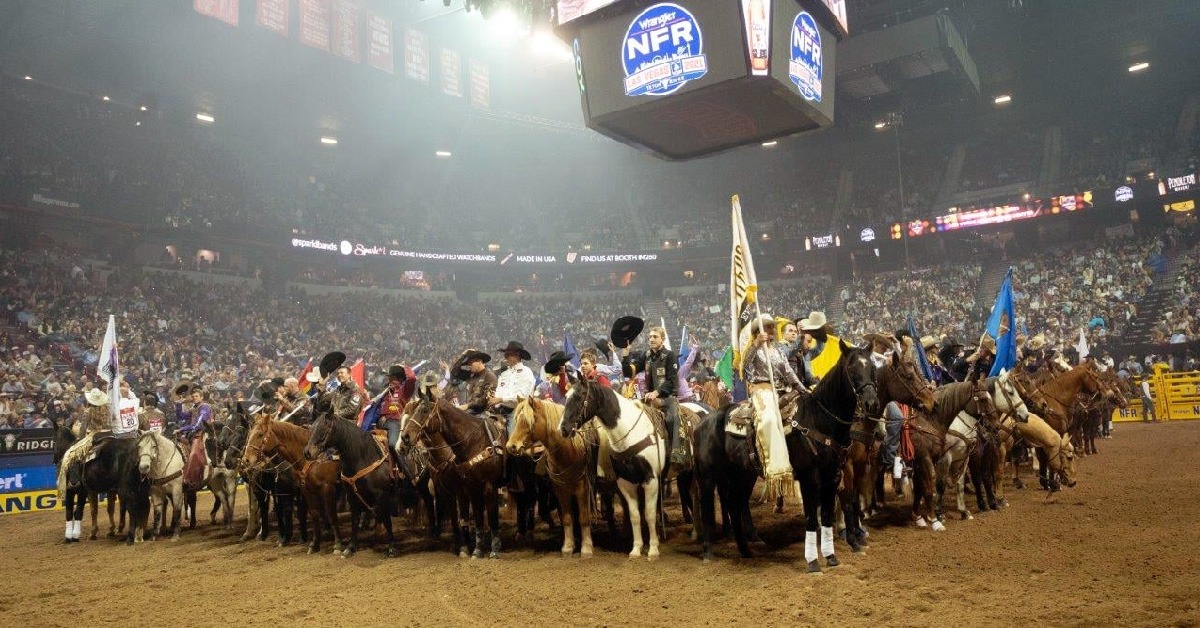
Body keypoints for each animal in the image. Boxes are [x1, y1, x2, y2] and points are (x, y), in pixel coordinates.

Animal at [238, 417, 343, 554]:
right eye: (249, 435)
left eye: (260, 435)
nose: (245, 460)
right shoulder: (306, 490)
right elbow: (314, 514)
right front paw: (314, 545)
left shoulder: (327, 487)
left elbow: (331, 515)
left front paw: (338, 545)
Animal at [506, 401, 595, 557]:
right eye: (516, 420)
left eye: (528, 421)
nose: (511, 446)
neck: (569, 452)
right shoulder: (560, 490)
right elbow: (567, 518)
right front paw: (568, 546)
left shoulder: (583, 488)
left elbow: (584, 517)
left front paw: (586, 548)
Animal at [561, 379, 676, 559]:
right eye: (566, 396)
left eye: (579, 397)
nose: (563, 428)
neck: (629, 434)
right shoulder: (626, 482)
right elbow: (635, 515)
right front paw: (636, 549)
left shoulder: (650, 479)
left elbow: (649, 514)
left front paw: (653, 549)